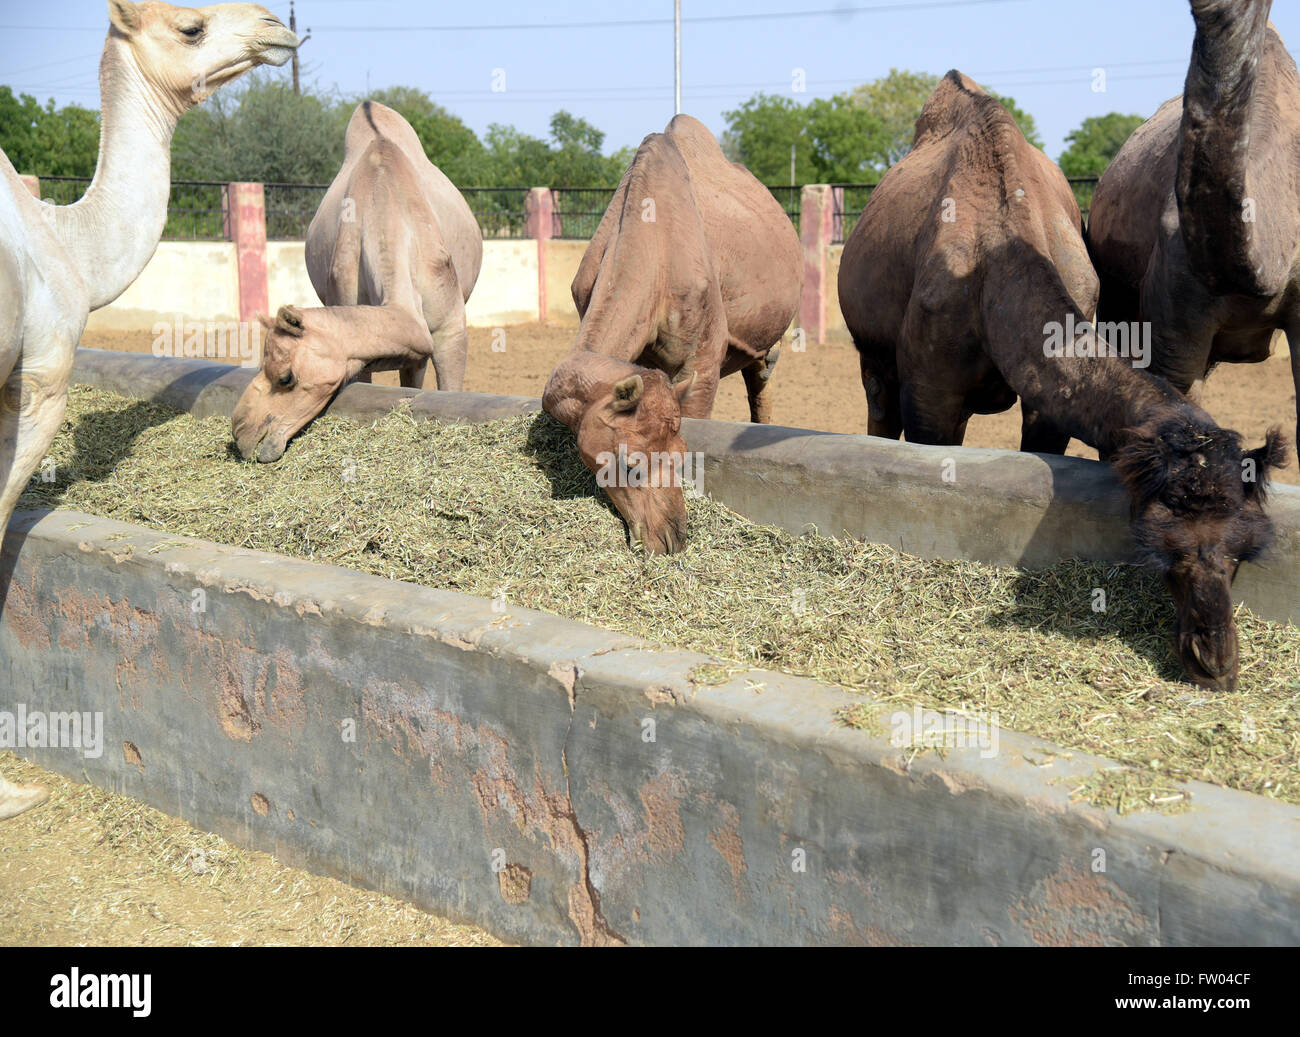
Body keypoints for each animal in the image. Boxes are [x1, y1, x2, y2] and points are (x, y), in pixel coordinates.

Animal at [837, 71, 1284, 691]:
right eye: (1163, 548)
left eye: (1245, 547)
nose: (1214, 663)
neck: (995, 267)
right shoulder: (931, 396)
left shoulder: (1044, 405)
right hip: (871, 354)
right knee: (878, 408)